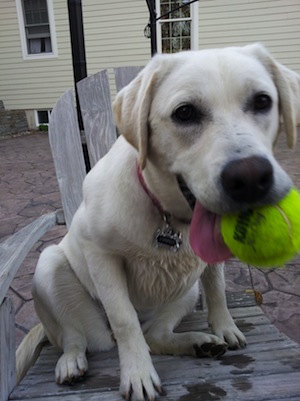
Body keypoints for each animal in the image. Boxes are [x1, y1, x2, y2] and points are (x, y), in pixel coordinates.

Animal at [17, 44, 298, 400]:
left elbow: (217, 287)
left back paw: (199, 343)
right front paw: (137, 374)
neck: (168, 215)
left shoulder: (207, 266)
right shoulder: (99, 254)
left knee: (154, 334)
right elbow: (124, 320)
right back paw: (71, 361)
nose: (250, 179)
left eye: (262, 101)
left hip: (186, 291)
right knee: (75, 336)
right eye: (185, 113)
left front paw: (224, 326)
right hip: (50, 268)